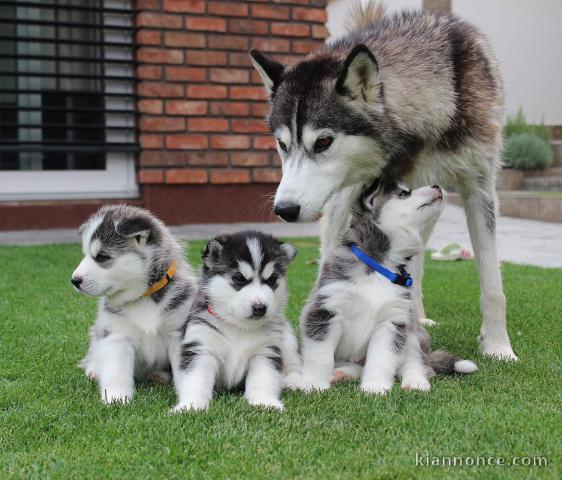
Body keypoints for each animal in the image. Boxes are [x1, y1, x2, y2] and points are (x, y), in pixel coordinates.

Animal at [71, 204, 197, 404]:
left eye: (102, 256)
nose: (74, 280)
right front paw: (116, 398)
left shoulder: (178, 332)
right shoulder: (117, 334)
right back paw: (93, 369)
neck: (142, 297)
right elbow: (116, 371)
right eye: (85, 255)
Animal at [172, 231, 300, 410]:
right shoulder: (201, 346)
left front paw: (264, 402)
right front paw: (191, 406)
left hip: (286, 337)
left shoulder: (266, 350)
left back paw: (295, 381)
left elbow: (264, 379)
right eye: (239, 278)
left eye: (272, 279)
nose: (260, 308)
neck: (239, 327)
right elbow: (196, 380)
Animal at [250, 1, 516, 358]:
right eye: (282, 144)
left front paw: (498, 347)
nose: (285, 209)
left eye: (323, 141)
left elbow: (492, 283)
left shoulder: (480, 188)